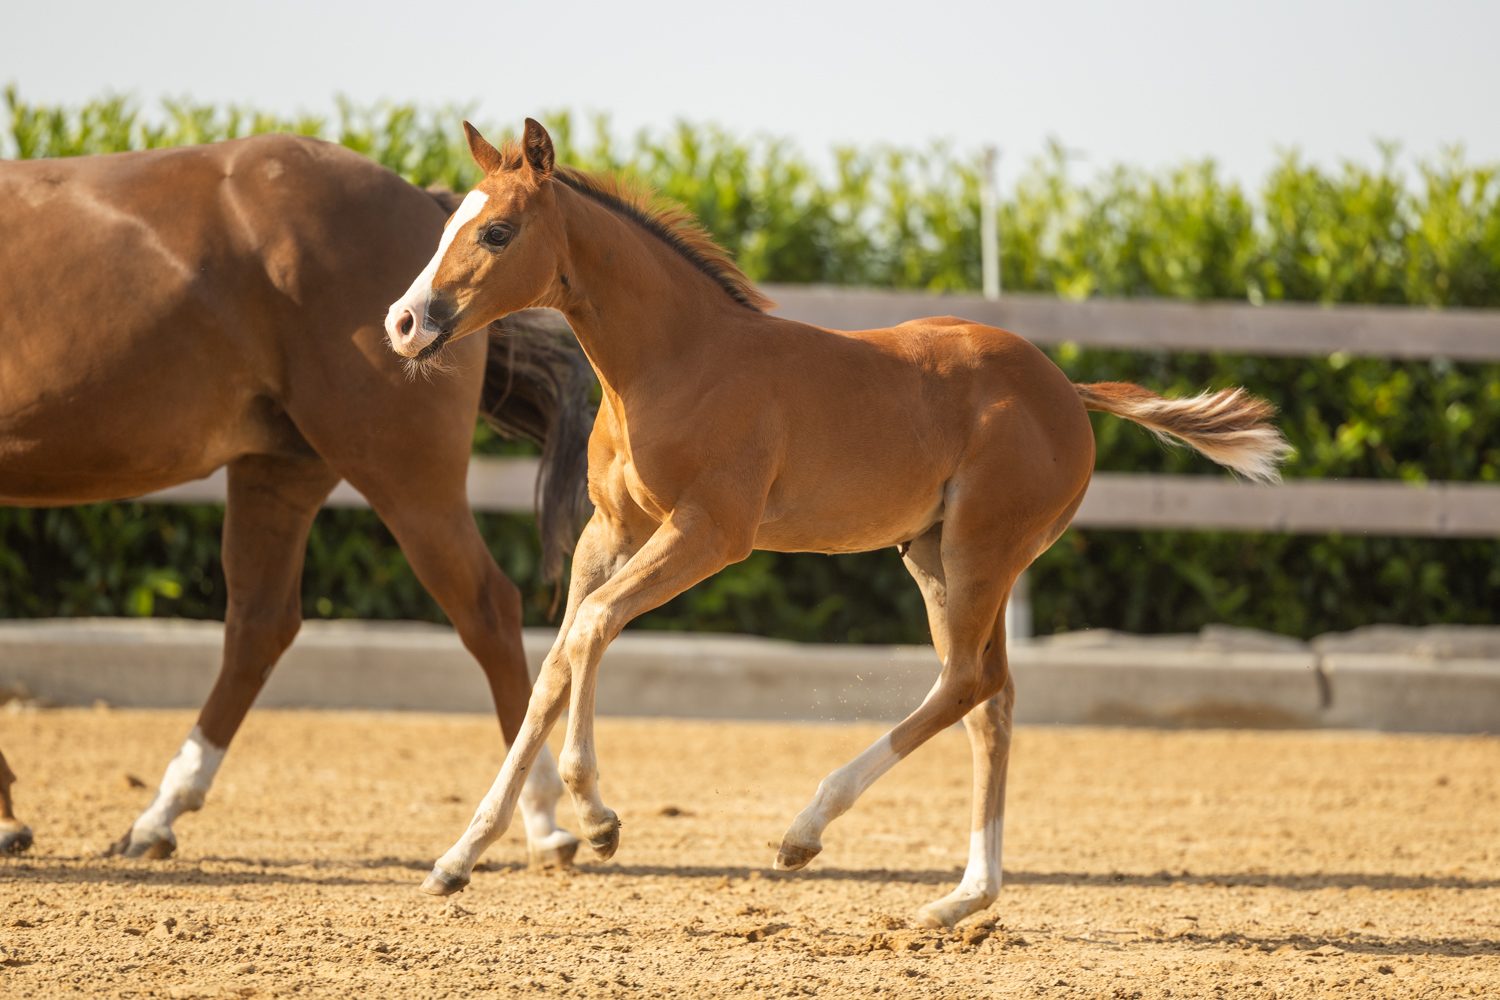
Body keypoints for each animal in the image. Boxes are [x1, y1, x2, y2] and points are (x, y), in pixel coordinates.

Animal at [0, 133, 596, 867]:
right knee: (259, 625)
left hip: (400, 471)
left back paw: (540, 818)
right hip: (280, 471)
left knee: (486, 608)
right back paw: (160, 815)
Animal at [382, 118, 1291, 928]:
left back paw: (805, 831)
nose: (404, 322)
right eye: (450, 223)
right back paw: (964, 898)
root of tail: (1068, 390)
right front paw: (459, 859)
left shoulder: (710, 532)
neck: (673, 360)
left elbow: (593, 629)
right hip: (936, 555)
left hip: (981, 549)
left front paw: (599, 820)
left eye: (497, 231)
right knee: (991, 698)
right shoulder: (612, 532)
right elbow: (555, 665)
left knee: (968, 683)